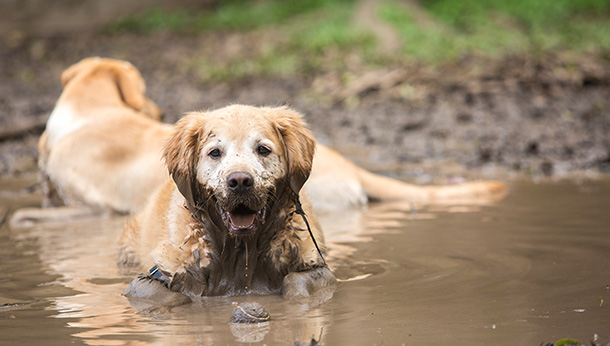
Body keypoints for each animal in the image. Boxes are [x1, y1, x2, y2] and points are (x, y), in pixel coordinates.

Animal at [120, 106, 334, 302]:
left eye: (263, 149)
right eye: (215, 152)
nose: (240, 181)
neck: (240, 251)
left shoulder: (317, 267)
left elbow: (295, 280)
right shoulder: (151, 278)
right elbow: (172, 295)